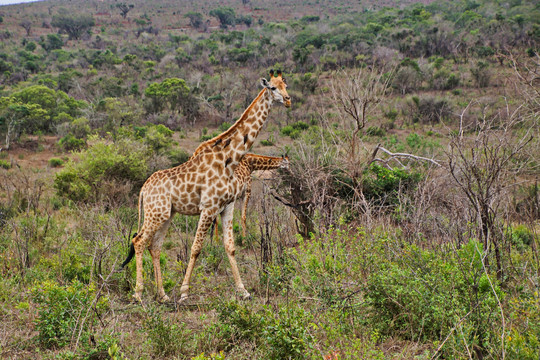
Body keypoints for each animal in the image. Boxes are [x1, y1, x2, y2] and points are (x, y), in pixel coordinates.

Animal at [123, 70, 292, 300]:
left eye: (285, 85)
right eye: (273, 88)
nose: (288, 100)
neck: (230, 159)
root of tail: (143, 189)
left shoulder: (227, 206)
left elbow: (230, 247)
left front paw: (243, 290)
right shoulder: (209, 207)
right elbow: (196, 248)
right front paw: (184, 292)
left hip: (167, 214)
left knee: (155, 246)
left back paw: (163, 294)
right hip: (155, 213)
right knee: (139, 241)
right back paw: (139, 293)